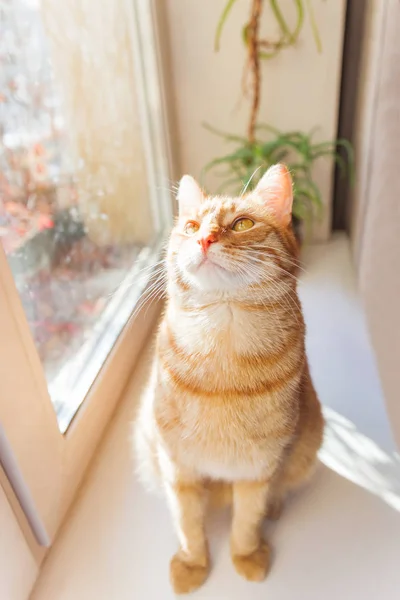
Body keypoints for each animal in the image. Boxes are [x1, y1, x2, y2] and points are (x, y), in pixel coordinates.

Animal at [136, 165, 324, 596]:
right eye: (190, 226)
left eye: (242, 224)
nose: (204, 238)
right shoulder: (177, 466)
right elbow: (188, 525)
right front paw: (193, 563)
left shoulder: (258, 469)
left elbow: (246, 522)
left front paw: (247, 556)